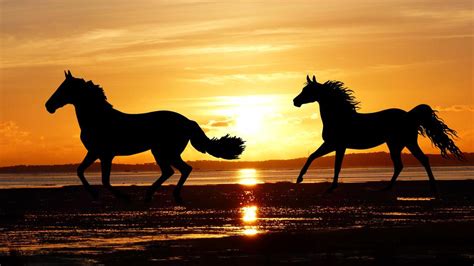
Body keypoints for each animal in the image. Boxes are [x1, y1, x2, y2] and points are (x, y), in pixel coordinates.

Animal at [45, 71, 244, 204]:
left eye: (64, 88)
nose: (48, 106)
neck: (99, 118)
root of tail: (187, 121)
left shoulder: (105, 155)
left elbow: (104, 180)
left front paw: (122, 196)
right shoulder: (95, 153)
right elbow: (80, 171)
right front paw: (95, 194)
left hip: (164, 152)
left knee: (177, 170)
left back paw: (156, 195)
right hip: (165, 152)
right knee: (177, 170)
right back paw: (160, 195)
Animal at [292, 74, 462, 193]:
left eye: (308, 90)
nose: (295, 101)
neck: (340, 117)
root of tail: (409, 115)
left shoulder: (337, 145)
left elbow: (335, 166)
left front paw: (329, 187)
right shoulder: (332, 145)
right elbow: (312, 156)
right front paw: (300, 178)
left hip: (404, 143)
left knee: (414, 162)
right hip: (399, 144)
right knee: (406, 164)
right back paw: (390, 188)